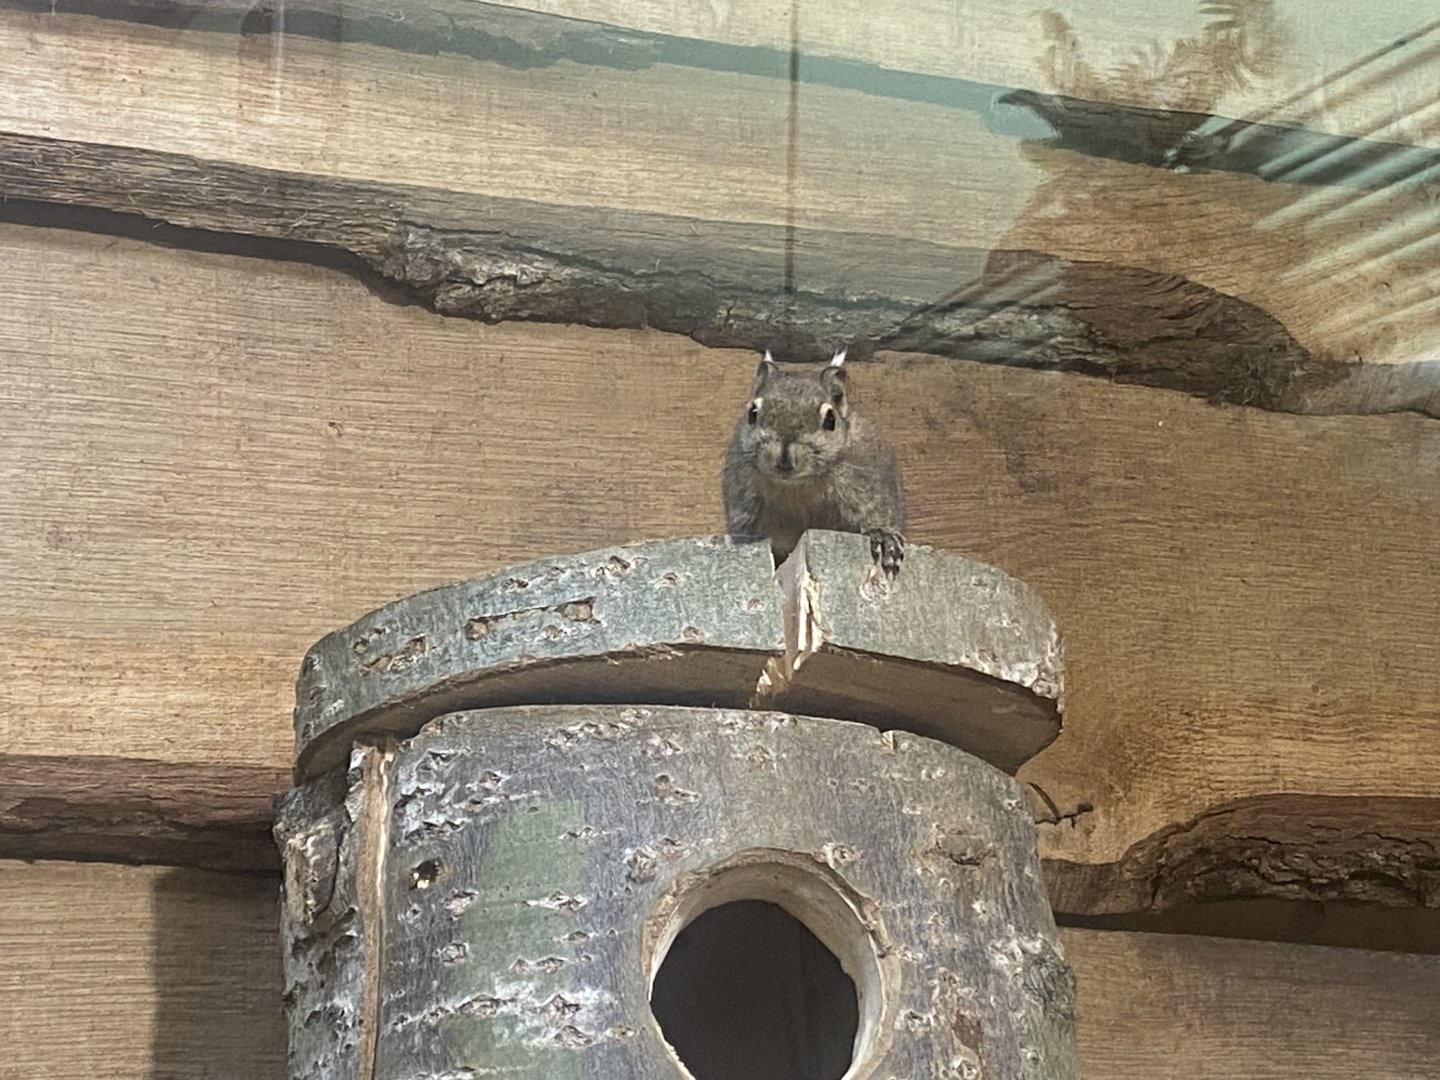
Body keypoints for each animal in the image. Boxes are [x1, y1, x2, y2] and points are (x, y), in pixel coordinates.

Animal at [722, 348, 907, 577]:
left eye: (830, 419)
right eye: (752, 413)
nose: (784, 458)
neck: (798, 485)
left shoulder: (871, 484)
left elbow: (878, 515)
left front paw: (884, 537)